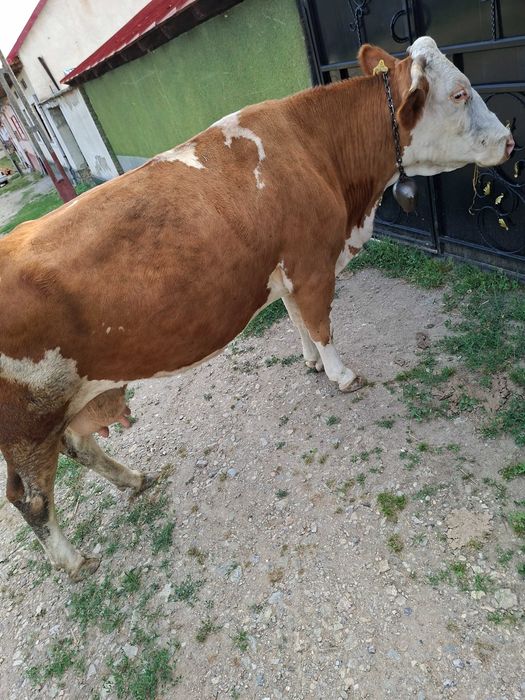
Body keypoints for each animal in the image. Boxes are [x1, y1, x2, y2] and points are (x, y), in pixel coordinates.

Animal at [0, 37, 514, 580]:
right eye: (459, 93)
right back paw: (74, 560)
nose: (509, 141)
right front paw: (342, 374)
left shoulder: (287, 270)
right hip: (27, 423)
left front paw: (312, 362)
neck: (319, 152)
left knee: (80, 447)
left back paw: (133, 479)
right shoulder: (312, 261)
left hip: (62, 406)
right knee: (31, 499)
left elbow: (297, 318)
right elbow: (320, 321)